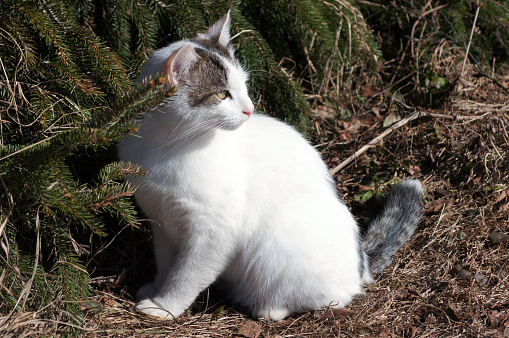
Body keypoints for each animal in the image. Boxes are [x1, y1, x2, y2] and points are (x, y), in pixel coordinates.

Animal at [117, 11, 422, 320]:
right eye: (222, 94)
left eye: (243, 86)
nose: (250, 109)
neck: (168, 146)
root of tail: (361, 266)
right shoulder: (162, 223)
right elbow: (167, 262)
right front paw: (157, 288)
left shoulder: (214, 231)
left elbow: (187, 275)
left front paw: (165, 306)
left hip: (278, 248)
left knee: (319, 299)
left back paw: (264, 305)